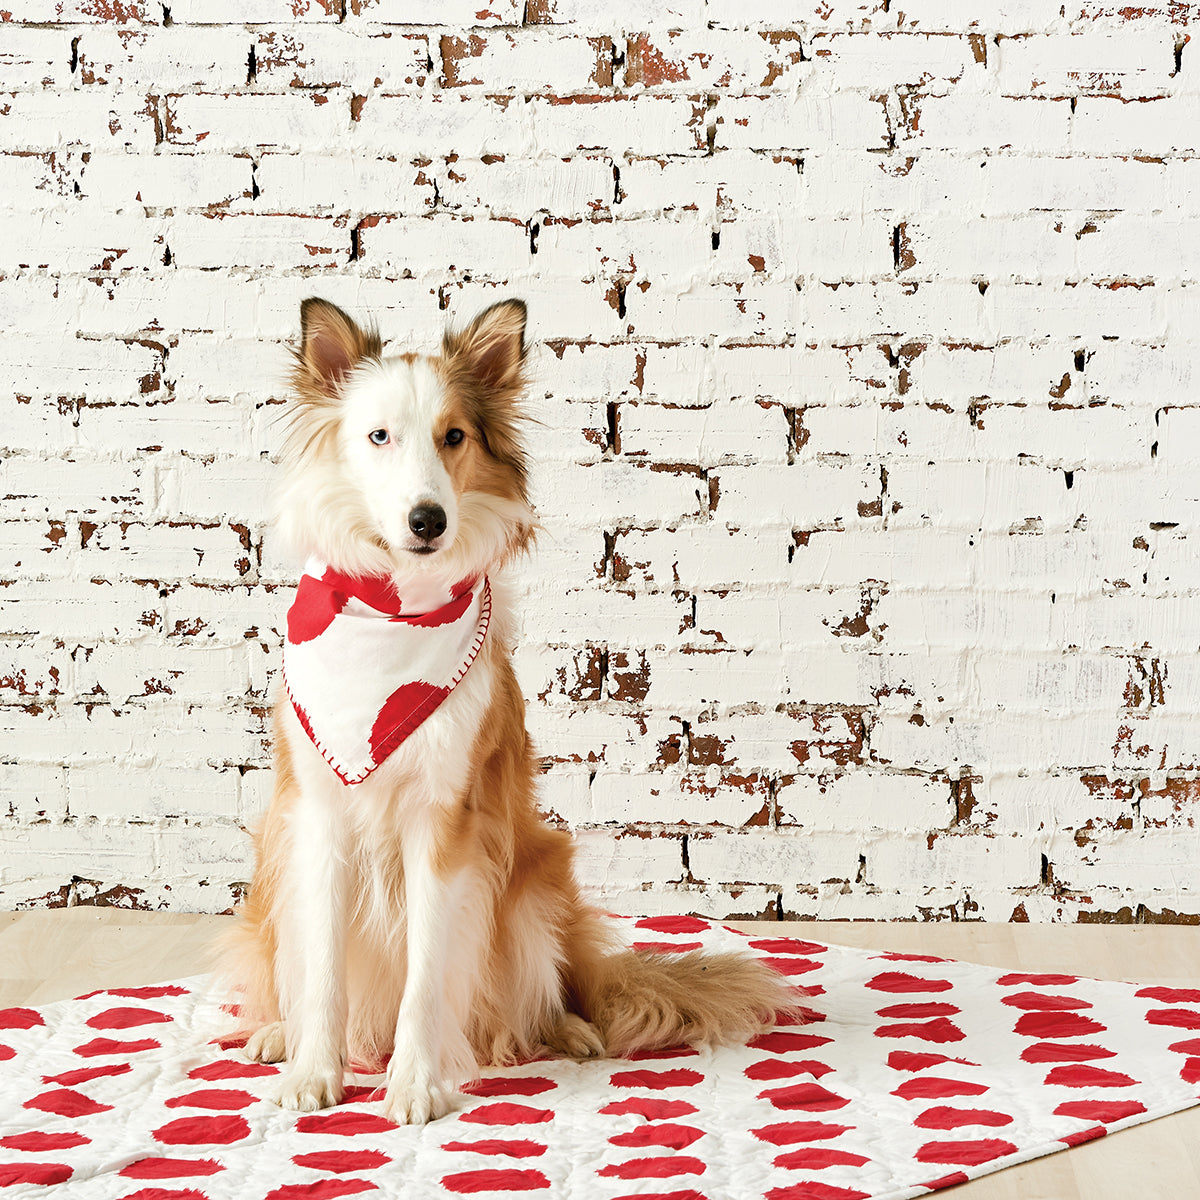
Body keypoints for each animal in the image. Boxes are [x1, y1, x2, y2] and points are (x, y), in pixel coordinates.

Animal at [222, 300, 796, 1123]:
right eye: (378, 436)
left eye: (454, 436)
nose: (428, 520)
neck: (393, 609)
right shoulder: (319, 819)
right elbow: (324, 969)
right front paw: (312, 1071)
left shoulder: (449, 820)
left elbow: (428, 976)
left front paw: (416, 1083)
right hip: (273, 870)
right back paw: (276, 1033)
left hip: (531, 883)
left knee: (541, 994)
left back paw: (568, 1031)